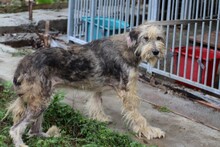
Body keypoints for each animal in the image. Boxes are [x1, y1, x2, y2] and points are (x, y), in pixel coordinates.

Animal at [6, 24, 165, 146]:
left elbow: (97, 102)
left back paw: (49, 136)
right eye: (145, 38)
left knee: (33, 131)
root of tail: (23, 64)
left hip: (42, 100)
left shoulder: (98, 87)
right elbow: (138, 116)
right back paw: (21, 144)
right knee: (15, 129)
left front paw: (100, 118)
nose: (156, 52)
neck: (130, 47)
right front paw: (150, 131)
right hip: (40, 102)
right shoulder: (128, 92)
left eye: (158, 38)